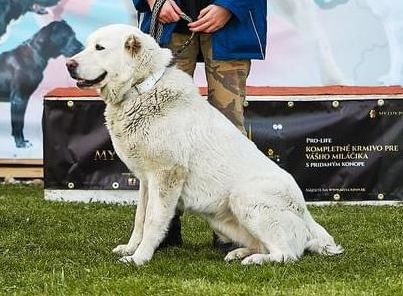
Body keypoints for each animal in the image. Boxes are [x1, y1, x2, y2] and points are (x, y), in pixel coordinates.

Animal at [67, 24, 344, 266]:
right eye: (87, 46)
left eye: (100, 48)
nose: (69, 64)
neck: (142, 88)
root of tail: (306, 215)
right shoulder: (146, 180)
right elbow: (140, 218)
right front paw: (130, 248)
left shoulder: (167, 174)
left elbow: (153, 220)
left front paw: (140, 258)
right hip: (223, 219)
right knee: (268, 246)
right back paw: (239, 253)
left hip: (245, 197)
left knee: (287, 254)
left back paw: (255, 260)